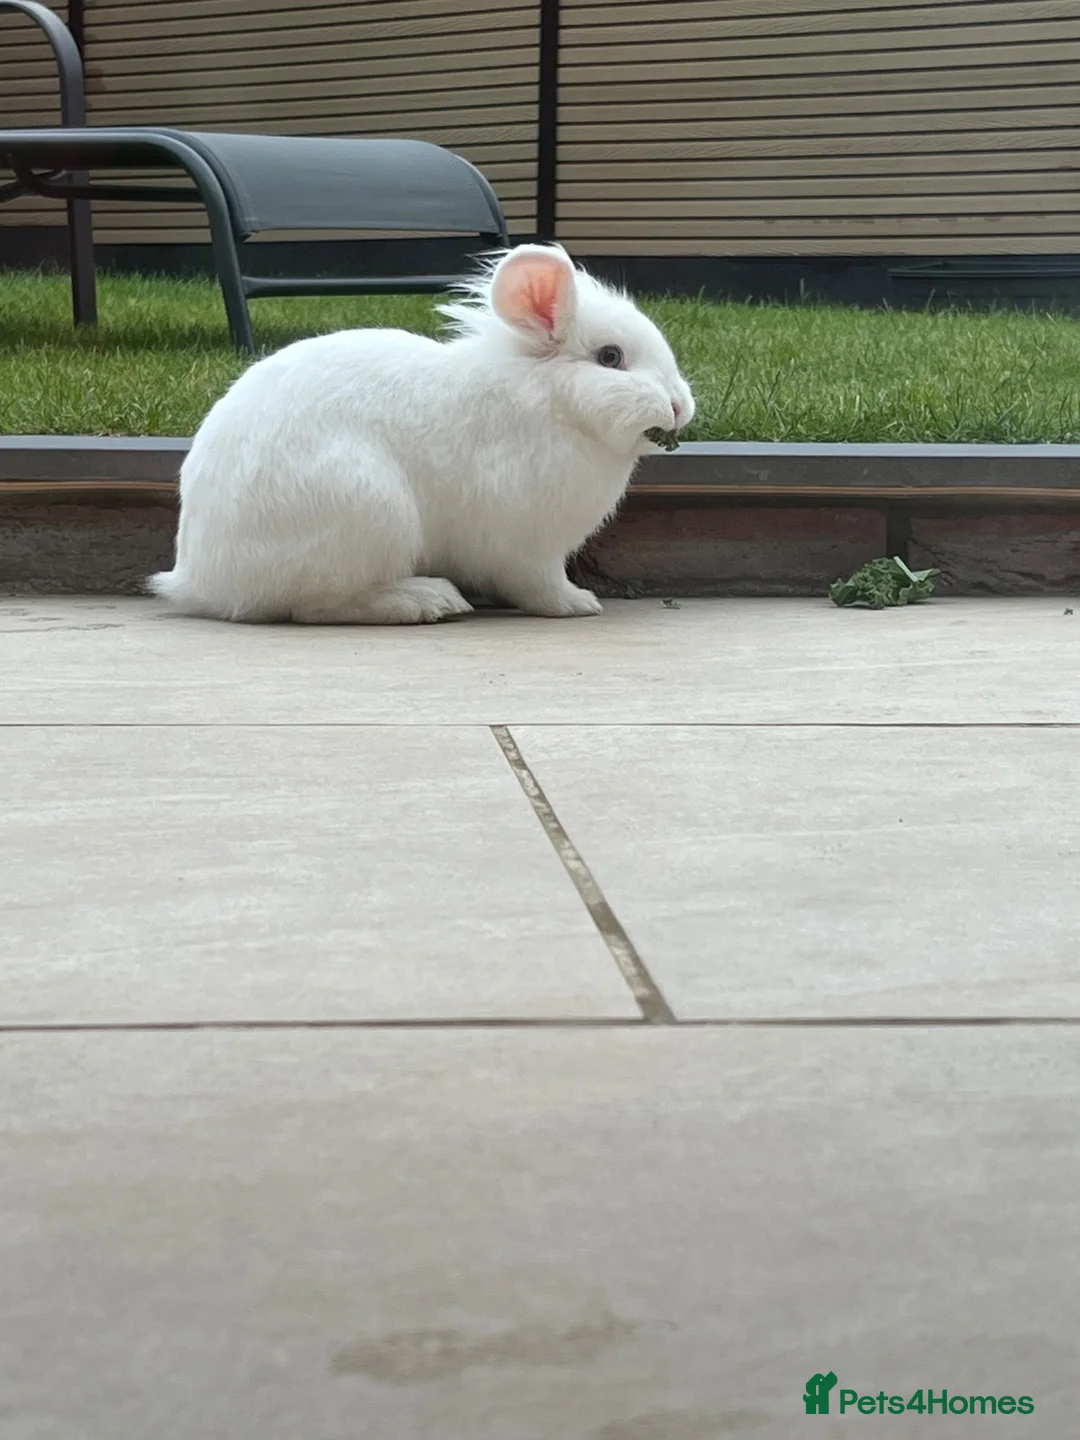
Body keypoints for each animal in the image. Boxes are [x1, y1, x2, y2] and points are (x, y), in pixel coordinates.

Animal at [149, 243, 695, 624]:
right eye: (611, 357)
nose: (679, 407)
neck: (547, 399)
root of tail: (202, 579)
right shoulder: (524, 545)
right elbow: (537, 584)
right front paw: (577, 603)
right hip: (369, 511)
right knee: (315, 606)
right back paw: (425, 600)